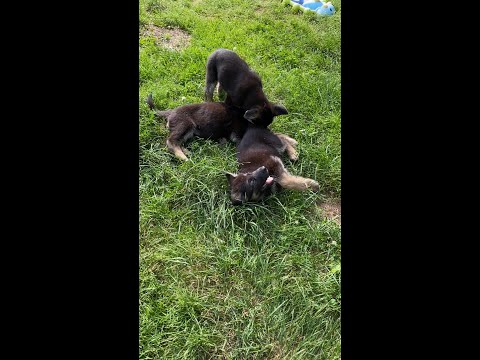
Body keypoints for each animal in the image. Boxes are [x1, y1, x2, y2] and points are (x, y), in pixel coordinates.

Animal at [147, 93, 288, 161]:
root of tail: (170, 112)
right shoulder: (237, 134)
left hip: (188, 131)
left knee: (177, 142)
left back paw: (185, 151)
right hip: (185, 125)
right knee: (171, 142)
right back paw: (183, 157)